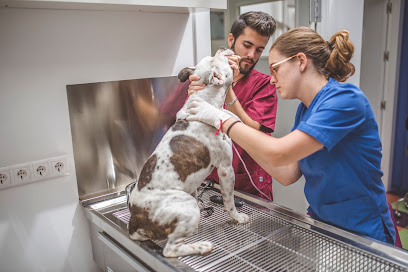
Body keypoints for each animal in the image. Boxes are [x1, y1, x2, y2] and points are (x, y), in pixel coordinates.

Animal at [126, 47, 249, 258]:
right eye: (219, 57)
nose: (221, 48)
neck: (205, 102)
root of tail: (135, 222)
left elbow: (195, 190)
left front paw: (202, 202)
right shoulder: (226, 169)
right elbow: (229, 201)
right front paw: (237, 217)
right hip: (185, 207)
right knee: (170, 250)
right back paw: (200, 246)